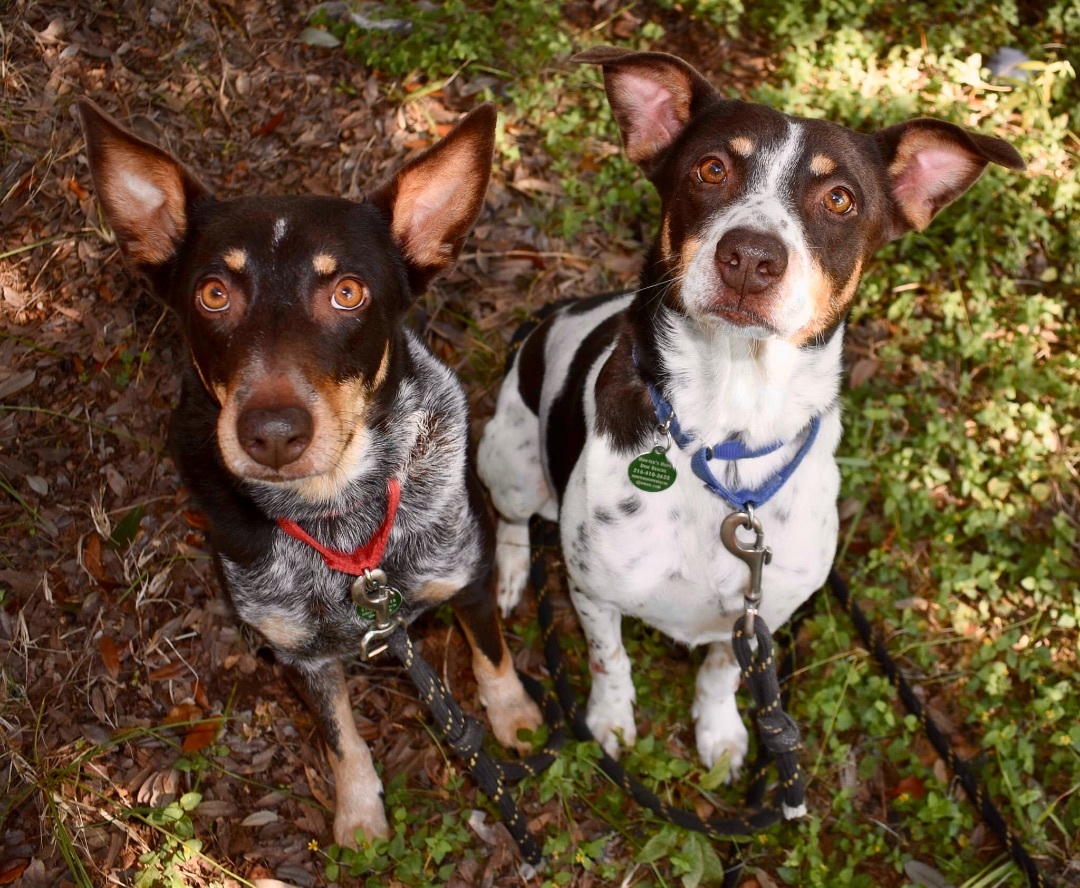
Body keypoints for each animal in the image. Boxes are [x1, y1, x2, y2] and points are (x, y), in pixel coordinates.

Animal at [477, 46, 1023, 777]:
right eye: (712, 168)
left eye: (840, 198)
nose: (751, 257)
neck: (727, 429)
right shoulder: (593, 591)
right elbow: (609, 659)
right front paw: (611, 720)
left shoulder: (763, 612)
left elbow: (720, 673)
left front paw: (720, 733)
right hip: (507, 455)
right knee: (510, 518)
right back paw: (509, 574)